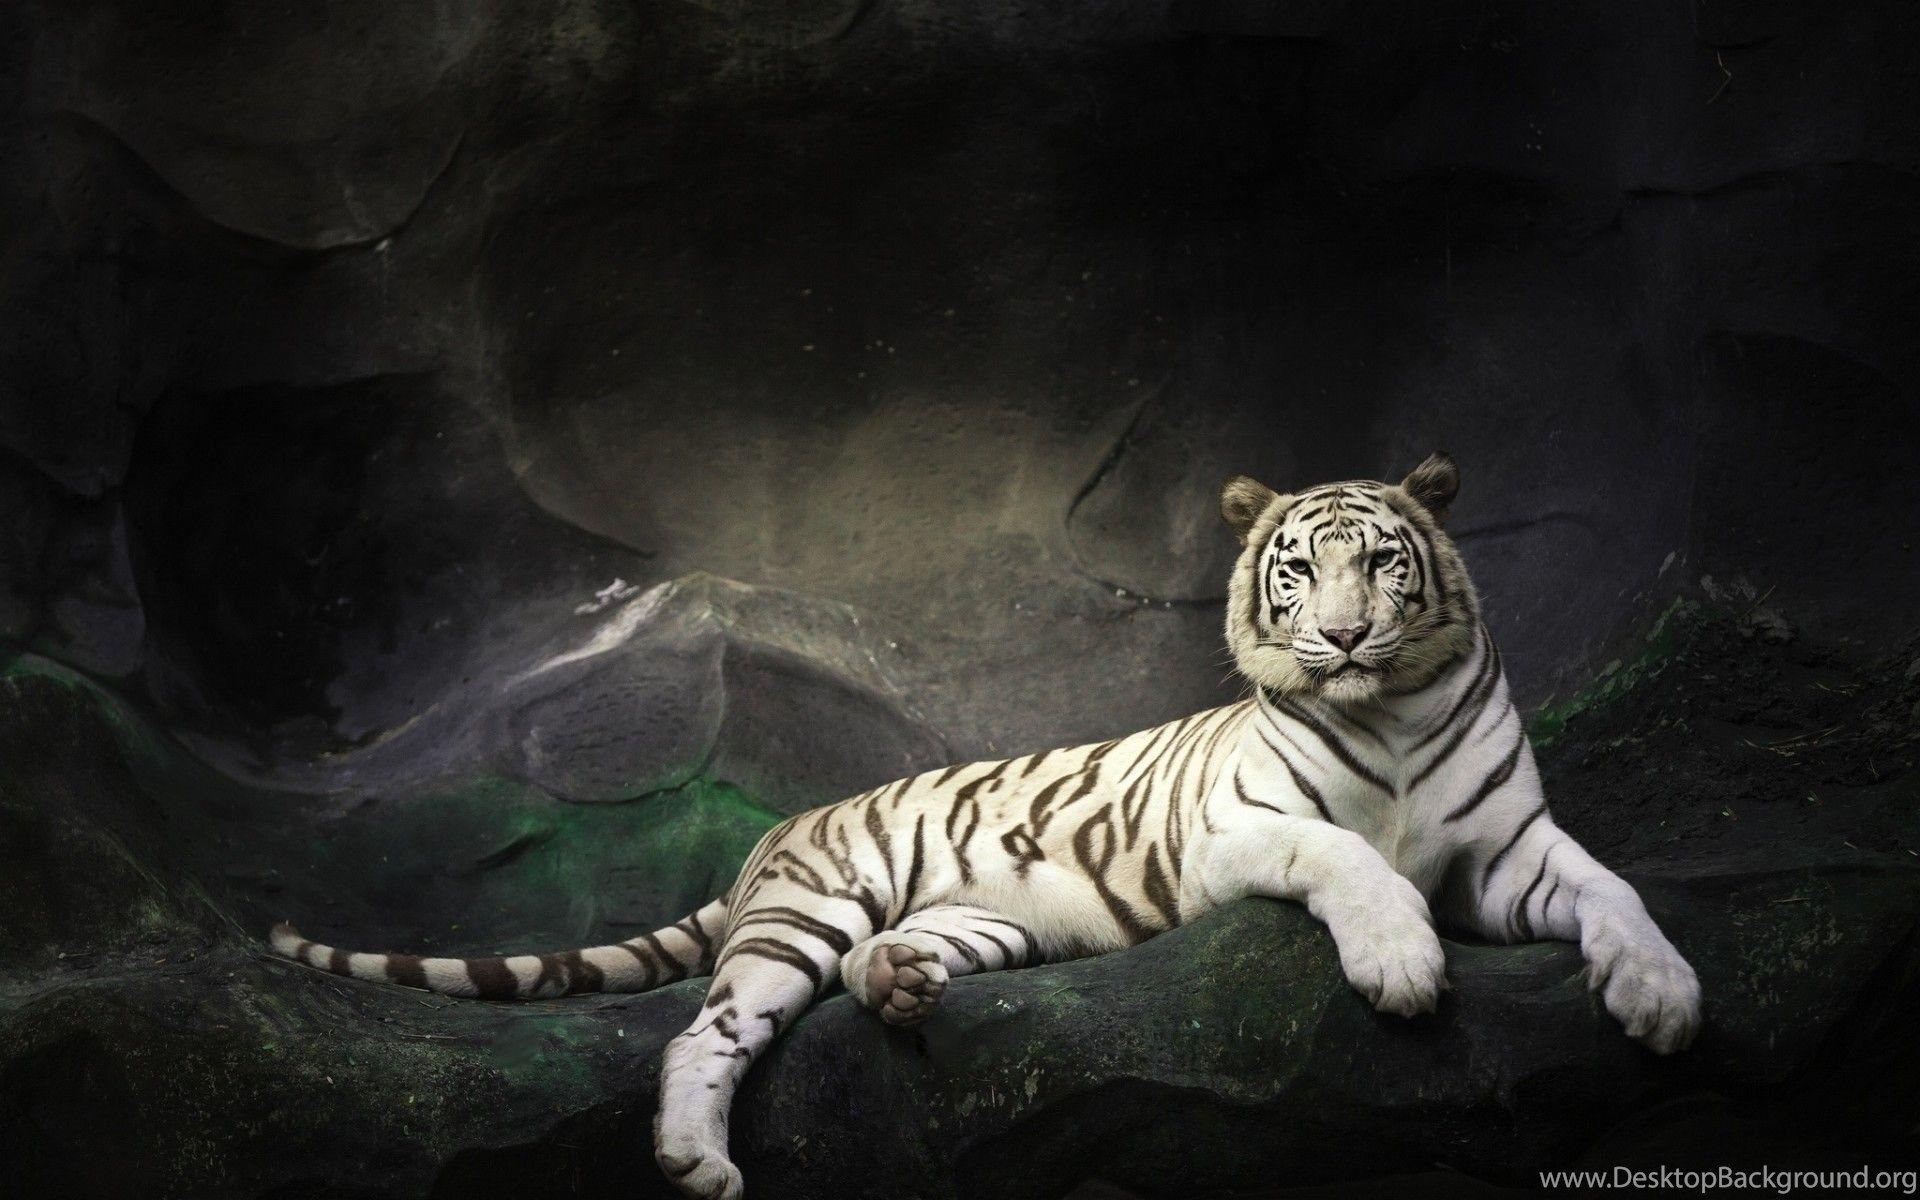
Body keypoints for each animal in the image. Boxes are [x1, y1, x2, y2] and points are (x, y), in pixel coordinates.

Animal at [271, 452, 1701, 1200]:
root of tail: (770, 839)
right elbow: (1344, 852)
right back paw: (696, 1160)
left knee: (875, 967)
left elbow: (1616, 890)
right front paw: (1402, 965)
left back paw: (902, 985)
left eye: (1385, 565)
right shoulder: (1235, 831)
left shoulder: (1509, 853)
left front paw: (1665, 997)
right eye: (1300, 570)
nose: (1344, 637)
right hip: (805, 915)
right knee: (704, 1031)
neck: (1390, 713)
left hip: (977, 917)